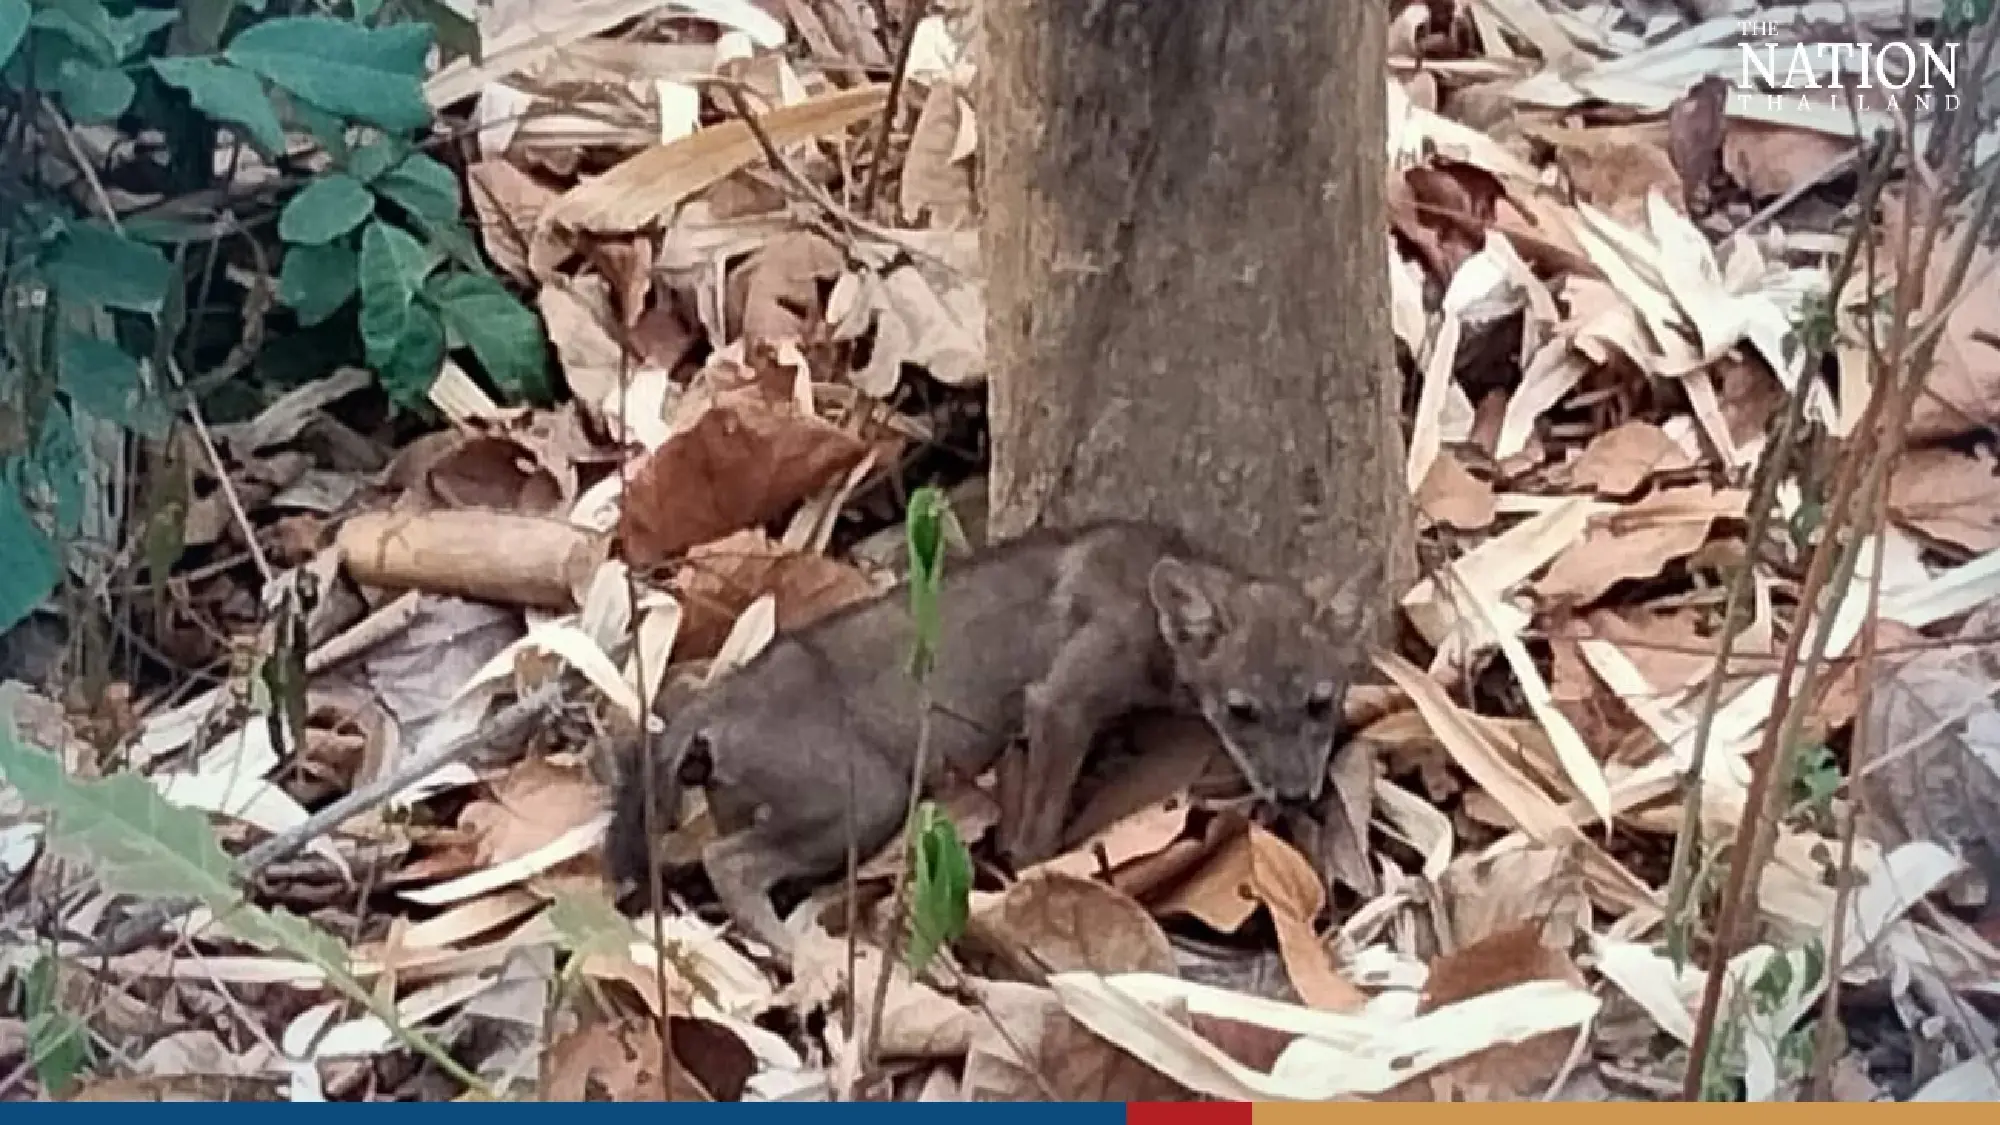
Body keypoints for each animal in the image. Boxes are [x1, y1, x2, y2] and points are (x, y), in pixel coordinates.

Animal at [603, 519, 1380, 954]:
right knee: (729, 862)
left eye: (1320, 702)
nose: (1295, 795)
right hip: (865, 800)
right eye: (1241, 710)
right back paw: (796, 956)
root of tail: (713, 700)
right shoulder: (1059, 704)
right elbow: (1037, 834)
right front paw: (1034, 886)